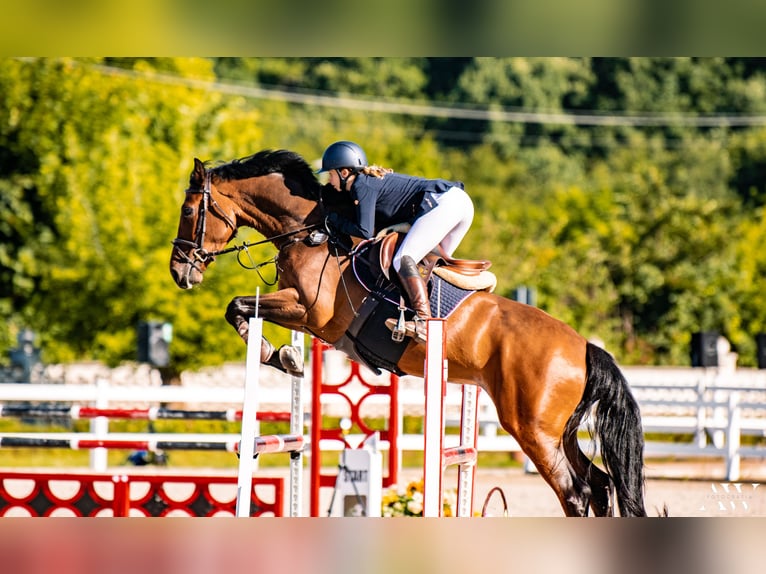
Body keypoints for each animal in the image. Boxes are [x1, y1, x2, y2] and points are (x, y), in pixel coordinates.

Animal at [170, 151, 648, 520]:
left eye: (189, 212)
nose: (180, 272)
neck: (312, 235)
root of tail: (583, 347)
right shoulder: (306, 318)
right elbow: (241, 309)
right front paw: (286, 355)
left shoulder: (308, 310)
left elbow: (237, 306)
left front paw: (275, 352)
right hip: (560, 431)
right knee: (600, 484)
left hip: (533, 429)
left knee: (576, 492)